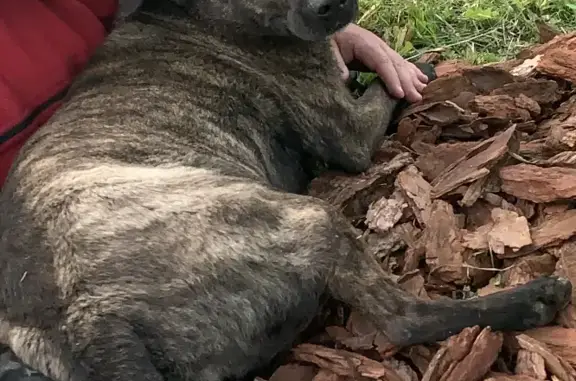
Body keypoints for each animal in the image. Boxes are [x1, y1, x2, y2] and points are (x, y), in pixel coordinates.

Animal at [0, 0, 572, 380]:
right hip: (308, 220)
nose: (328, 7)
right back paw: (531, 301)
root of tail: (84, 325)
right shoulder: (348, 131)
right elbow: (384, 88)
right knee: (404, 320)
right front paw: (414, 67)